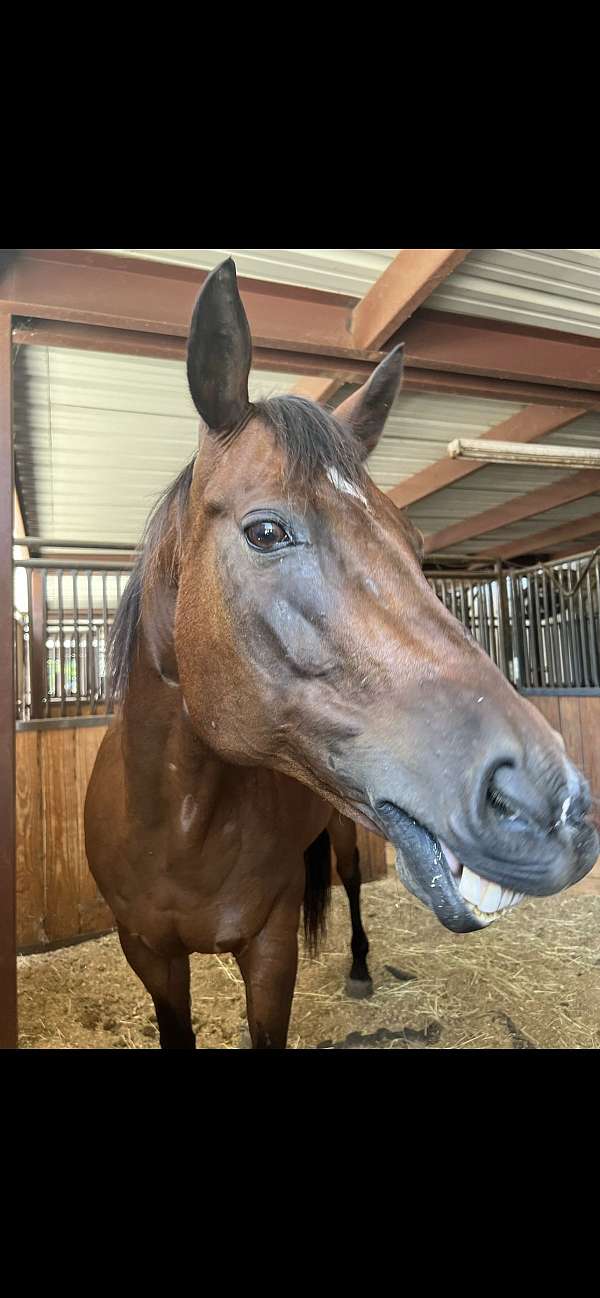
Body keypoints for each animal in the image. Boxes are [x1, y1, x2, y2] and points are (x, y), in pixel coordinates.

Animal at [83, 258, 594, 1048]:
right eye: (266, 532)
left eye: (415, 544)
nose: (551, 805)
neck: (176, 823)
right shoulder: (150, 957)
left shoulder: (270, 949)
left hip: (347, 834)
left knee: (351, 882)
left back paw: (357, 967)